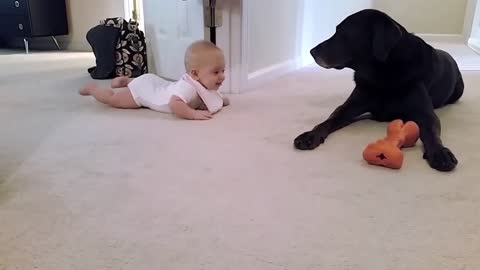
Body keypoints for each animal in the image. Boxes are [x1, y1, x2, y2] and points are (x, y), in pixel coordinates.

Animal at [294, 9, 464, 172]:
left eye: (342, 32)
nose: (311, 51)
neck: (382, 72)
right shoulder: (350, 105)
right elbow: (329, 120)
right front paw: (310, 135)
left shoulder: (425, 114)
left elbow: (430, 133)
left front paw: (440, 153)